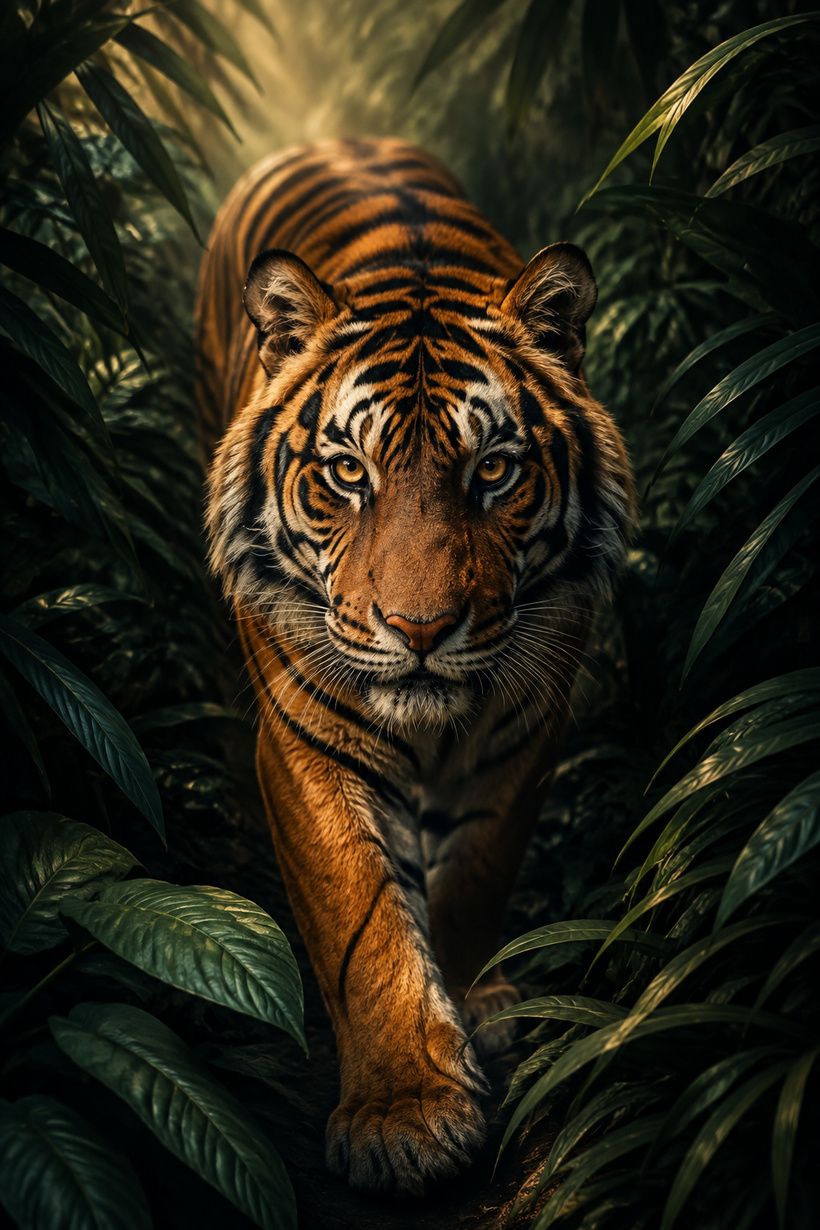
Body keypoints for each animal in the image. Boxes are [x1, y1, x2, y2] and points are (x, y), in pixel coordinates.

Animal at [195, 138, 634, 1198]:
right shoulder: (306, 739)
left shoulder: (529, 726)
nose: (420, 628)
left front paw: (478, 1004)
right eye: (348, 474)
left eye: (494, 472)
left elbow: (476, 869)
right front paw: (405, 1116)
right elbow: (360, 918)